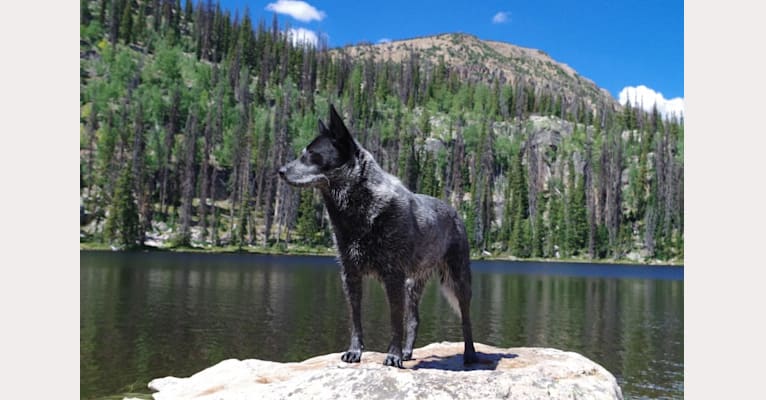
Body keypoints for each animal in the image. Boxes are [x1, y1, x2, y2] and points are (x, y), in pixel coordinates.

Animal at [280, 104, 476, 368]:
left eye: (311, 154)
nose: (280, 171)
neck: (358, 211)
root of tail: (455, 212)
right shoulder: (350, 275)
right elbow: (355, 320)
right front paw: (355, 352)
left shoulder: (392, 276)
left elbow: (394, 321)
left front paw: (393, 356)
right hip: (413, 284)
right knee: (414, 319)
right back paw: (408, 352)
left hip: (458, 279)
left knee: (466, 318)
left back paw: (470, 355)